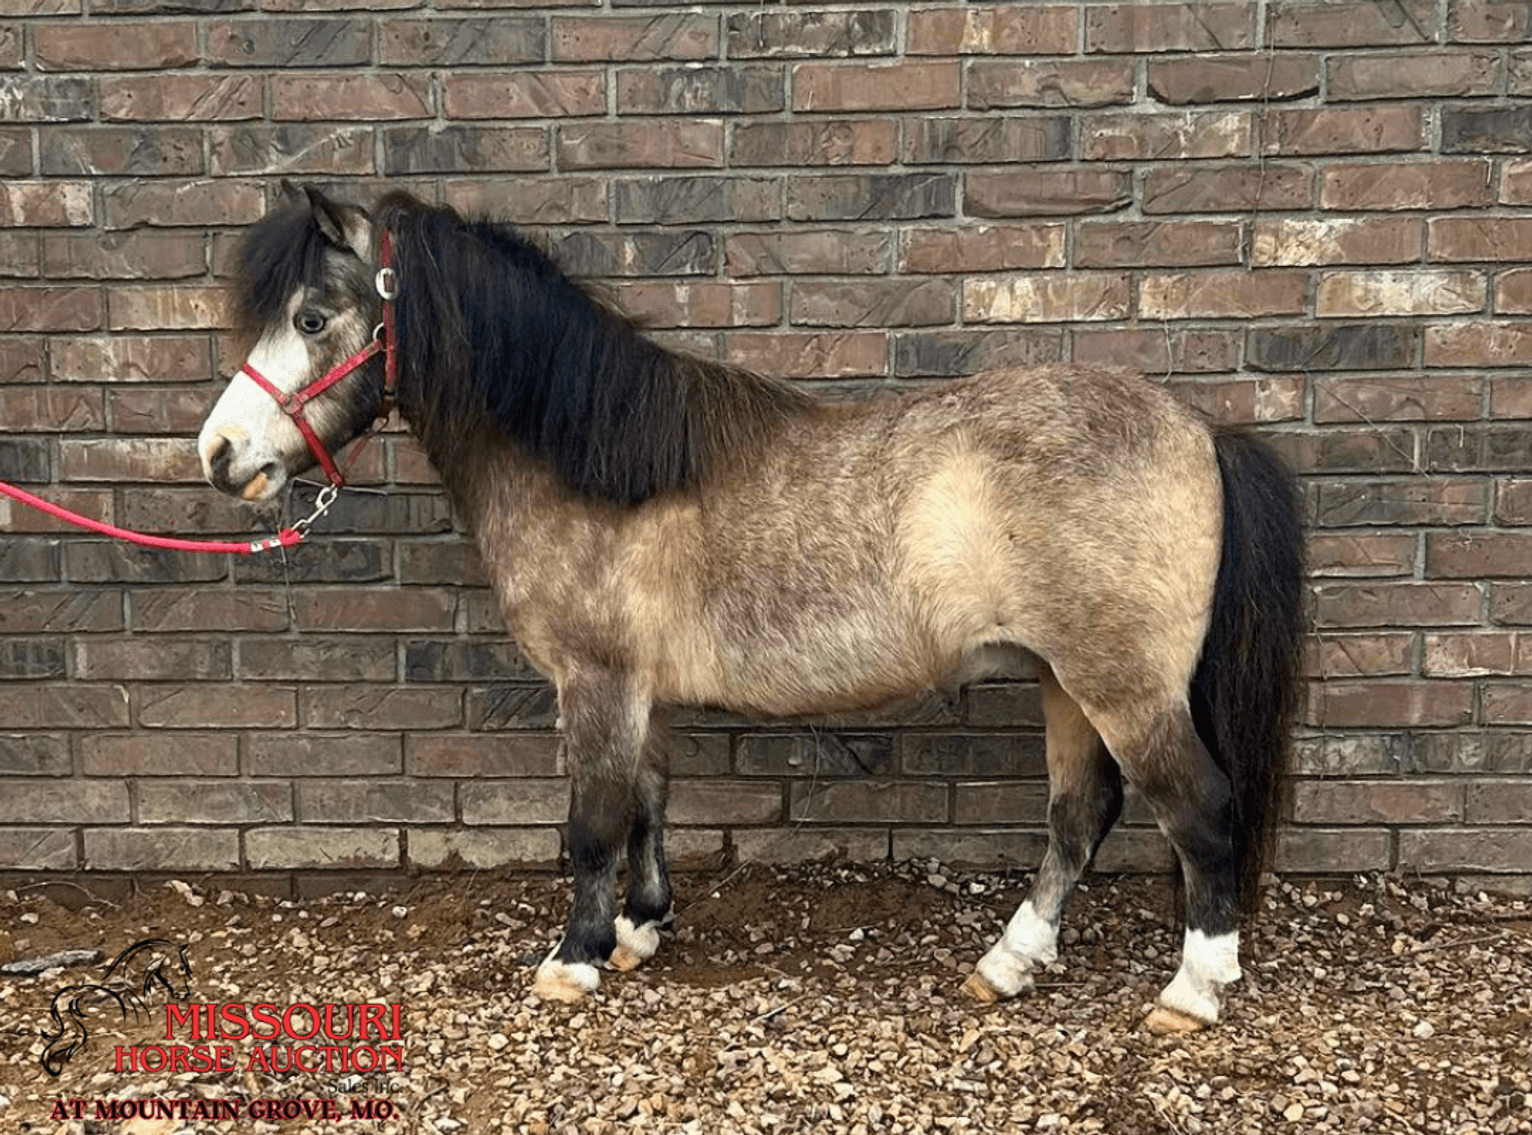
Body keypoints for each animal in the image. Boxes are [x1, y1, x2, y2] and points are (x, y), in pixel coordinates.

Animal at [197, 186, 1305, 1033]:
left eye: (309, 318)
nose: (219, 456)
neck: (596, 459)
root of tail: (1199, 430)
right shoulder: (638, 689)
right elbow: (647, 806)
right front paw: (638, 930)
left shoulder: (594, 681)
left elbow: (592, 822)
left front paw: (573, 957)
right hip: (1063, 680)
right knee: (1082, 815)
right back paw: (1008, 962)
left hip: (1121, 685)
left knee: (1198, 810)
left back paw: (1192, 991)